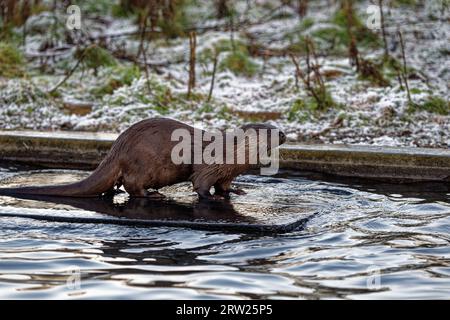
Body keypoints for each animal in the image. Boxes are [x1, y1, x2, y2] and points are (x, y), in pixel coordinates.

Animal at [0, 119, 286, 200]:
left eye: (276, 126)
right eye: (269, 131)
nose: (283, 133)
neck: (232, 156)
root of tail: (117, 148)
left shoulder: (226, 173)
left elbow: (225, 186)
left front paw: (236, 192)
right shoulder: (208, 168)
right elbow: (201, 185)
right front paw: (213, 198)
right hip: (142, 164)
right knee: (132, 185)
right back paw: (152, 195)